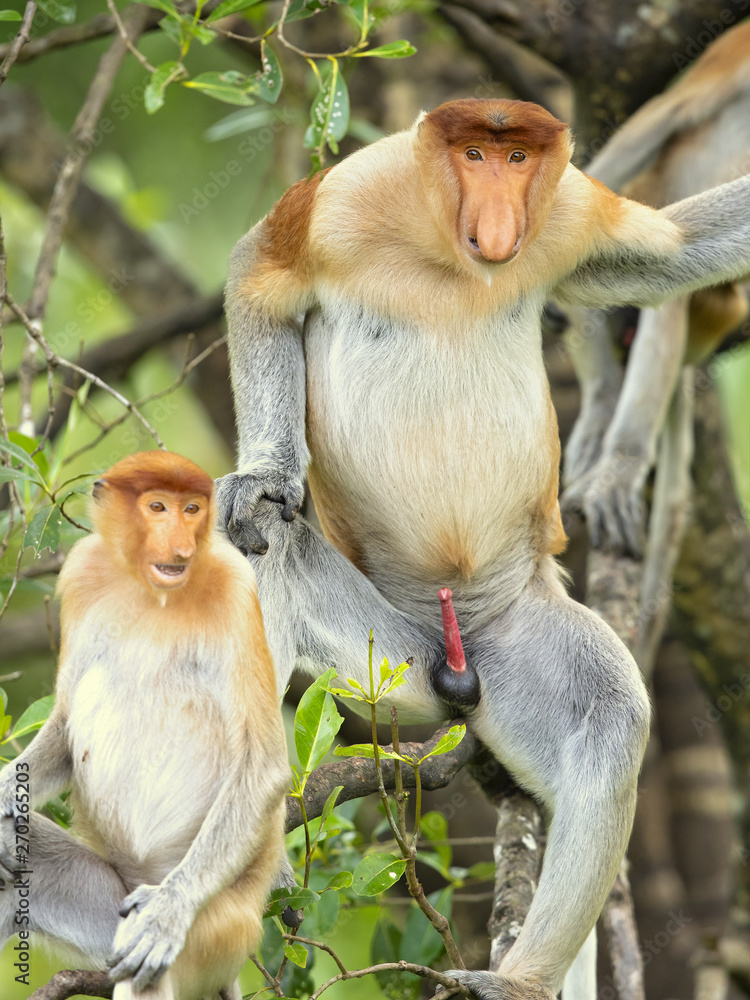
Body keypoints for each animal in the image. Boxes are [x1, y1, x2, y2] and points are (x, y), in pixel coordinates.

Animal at [0, 451, 289, 1000]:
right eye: (157, 507)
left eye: (192, 509)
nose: (180, 545)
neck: (152, 591)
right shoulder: (83, 573)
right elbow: (65, 722)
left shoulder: (237, 588)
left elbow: (263, 767)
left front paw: (162, 916)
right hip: (105, 901)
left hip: (219, 931)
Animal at [216, 97, 750, 1000]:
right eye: (473, 154)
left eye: (517, 157)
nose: (500, 216)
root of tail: (456, 659)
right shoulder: (344, 198)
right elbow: (258, 273)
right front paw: (264, 476)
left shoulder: (569, 211)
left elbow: (670, 252)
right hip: (384, 663)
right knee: (277, 556)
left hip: (509, 639)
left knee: (610, 720)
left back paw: (520, 979)